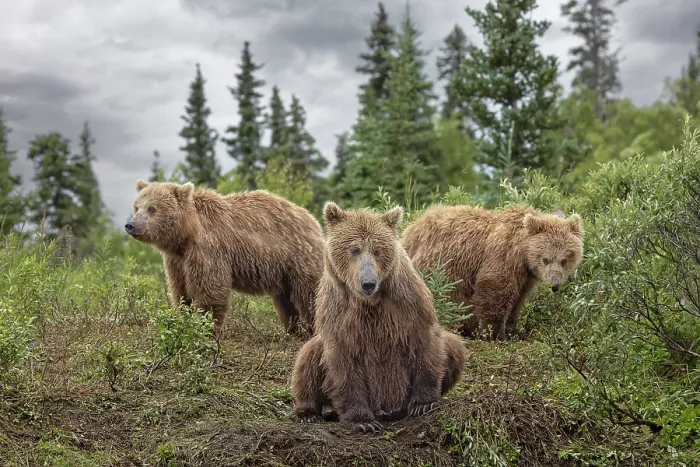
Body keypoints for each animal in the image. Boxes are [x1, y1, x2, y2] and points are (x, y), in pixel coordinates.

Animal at [124, 180, 325, 339]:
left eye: (152, 208)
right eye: (136, 206)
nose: (130, 225)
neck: (185, 235)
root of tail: (313, 220)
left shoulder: (208, 250)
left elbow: (210, 289)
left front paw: (204, 326)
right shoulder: (177, 260)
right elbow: (180, 289)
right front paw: (184, 316)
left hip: (298, 256)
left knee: (309, 292)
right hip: (283, 270)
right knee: (286, 301)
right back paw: (295, 330)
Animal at [289, 202, 468, 433]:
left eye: (377, 250)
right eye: (354, 249)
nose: (368, 283)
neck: (370, 302)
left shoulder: (407, 303)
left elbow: (424, 343)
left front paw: (424, 403)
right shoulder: (340, 314)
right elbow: (344, 364)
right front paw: (362, 421)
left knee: (453, 345)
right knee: (308, 357)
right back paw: (307, 413)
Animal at [401, 204, 584, 341]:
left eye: (565, 260)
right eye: (545, 259)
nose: (555, 284)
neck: (523, 252)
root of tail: (411, 229)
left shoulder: (526, 276)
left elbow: (518, 299)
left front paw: (513, 330)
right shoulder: (504, 255)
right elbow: (496, 288)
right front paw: (495, 333)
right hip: (440, 267)